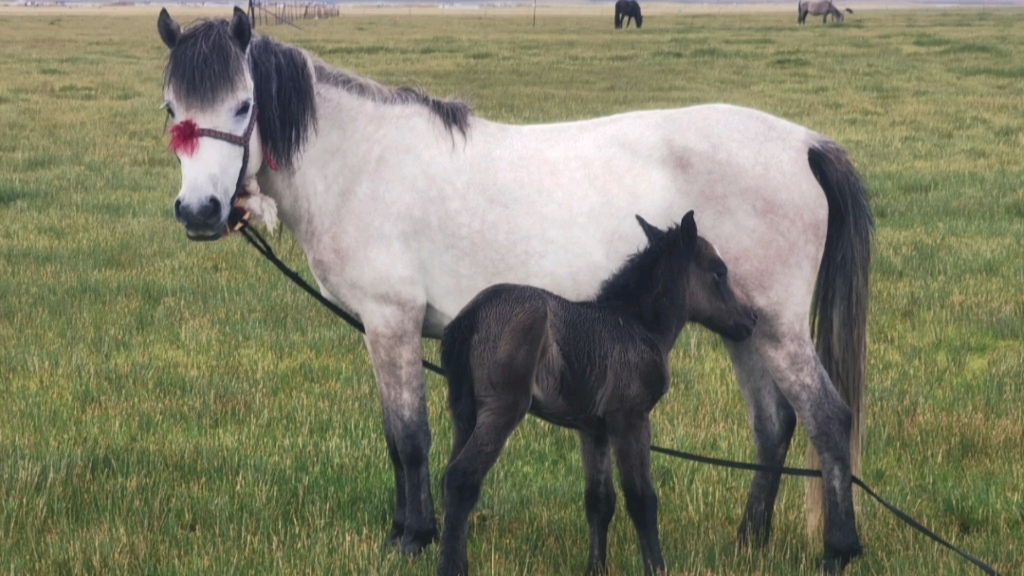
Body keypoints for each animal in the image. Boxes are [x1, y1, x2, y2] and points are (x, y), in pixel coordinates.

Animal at [436, 212, 757, 573]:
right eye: (719, 271)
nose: (752, 319)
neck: (638, 326)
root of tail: (471, 316)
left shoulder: (594, 429)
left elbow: (599, 501)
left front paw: (596, 568)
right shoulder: (631, 418)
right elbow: (641, 498)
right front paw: (657, 567)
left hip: (464, 413)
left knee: (451, 477)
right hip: (503, 409)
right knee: (461, 478)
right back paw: (450, 567)